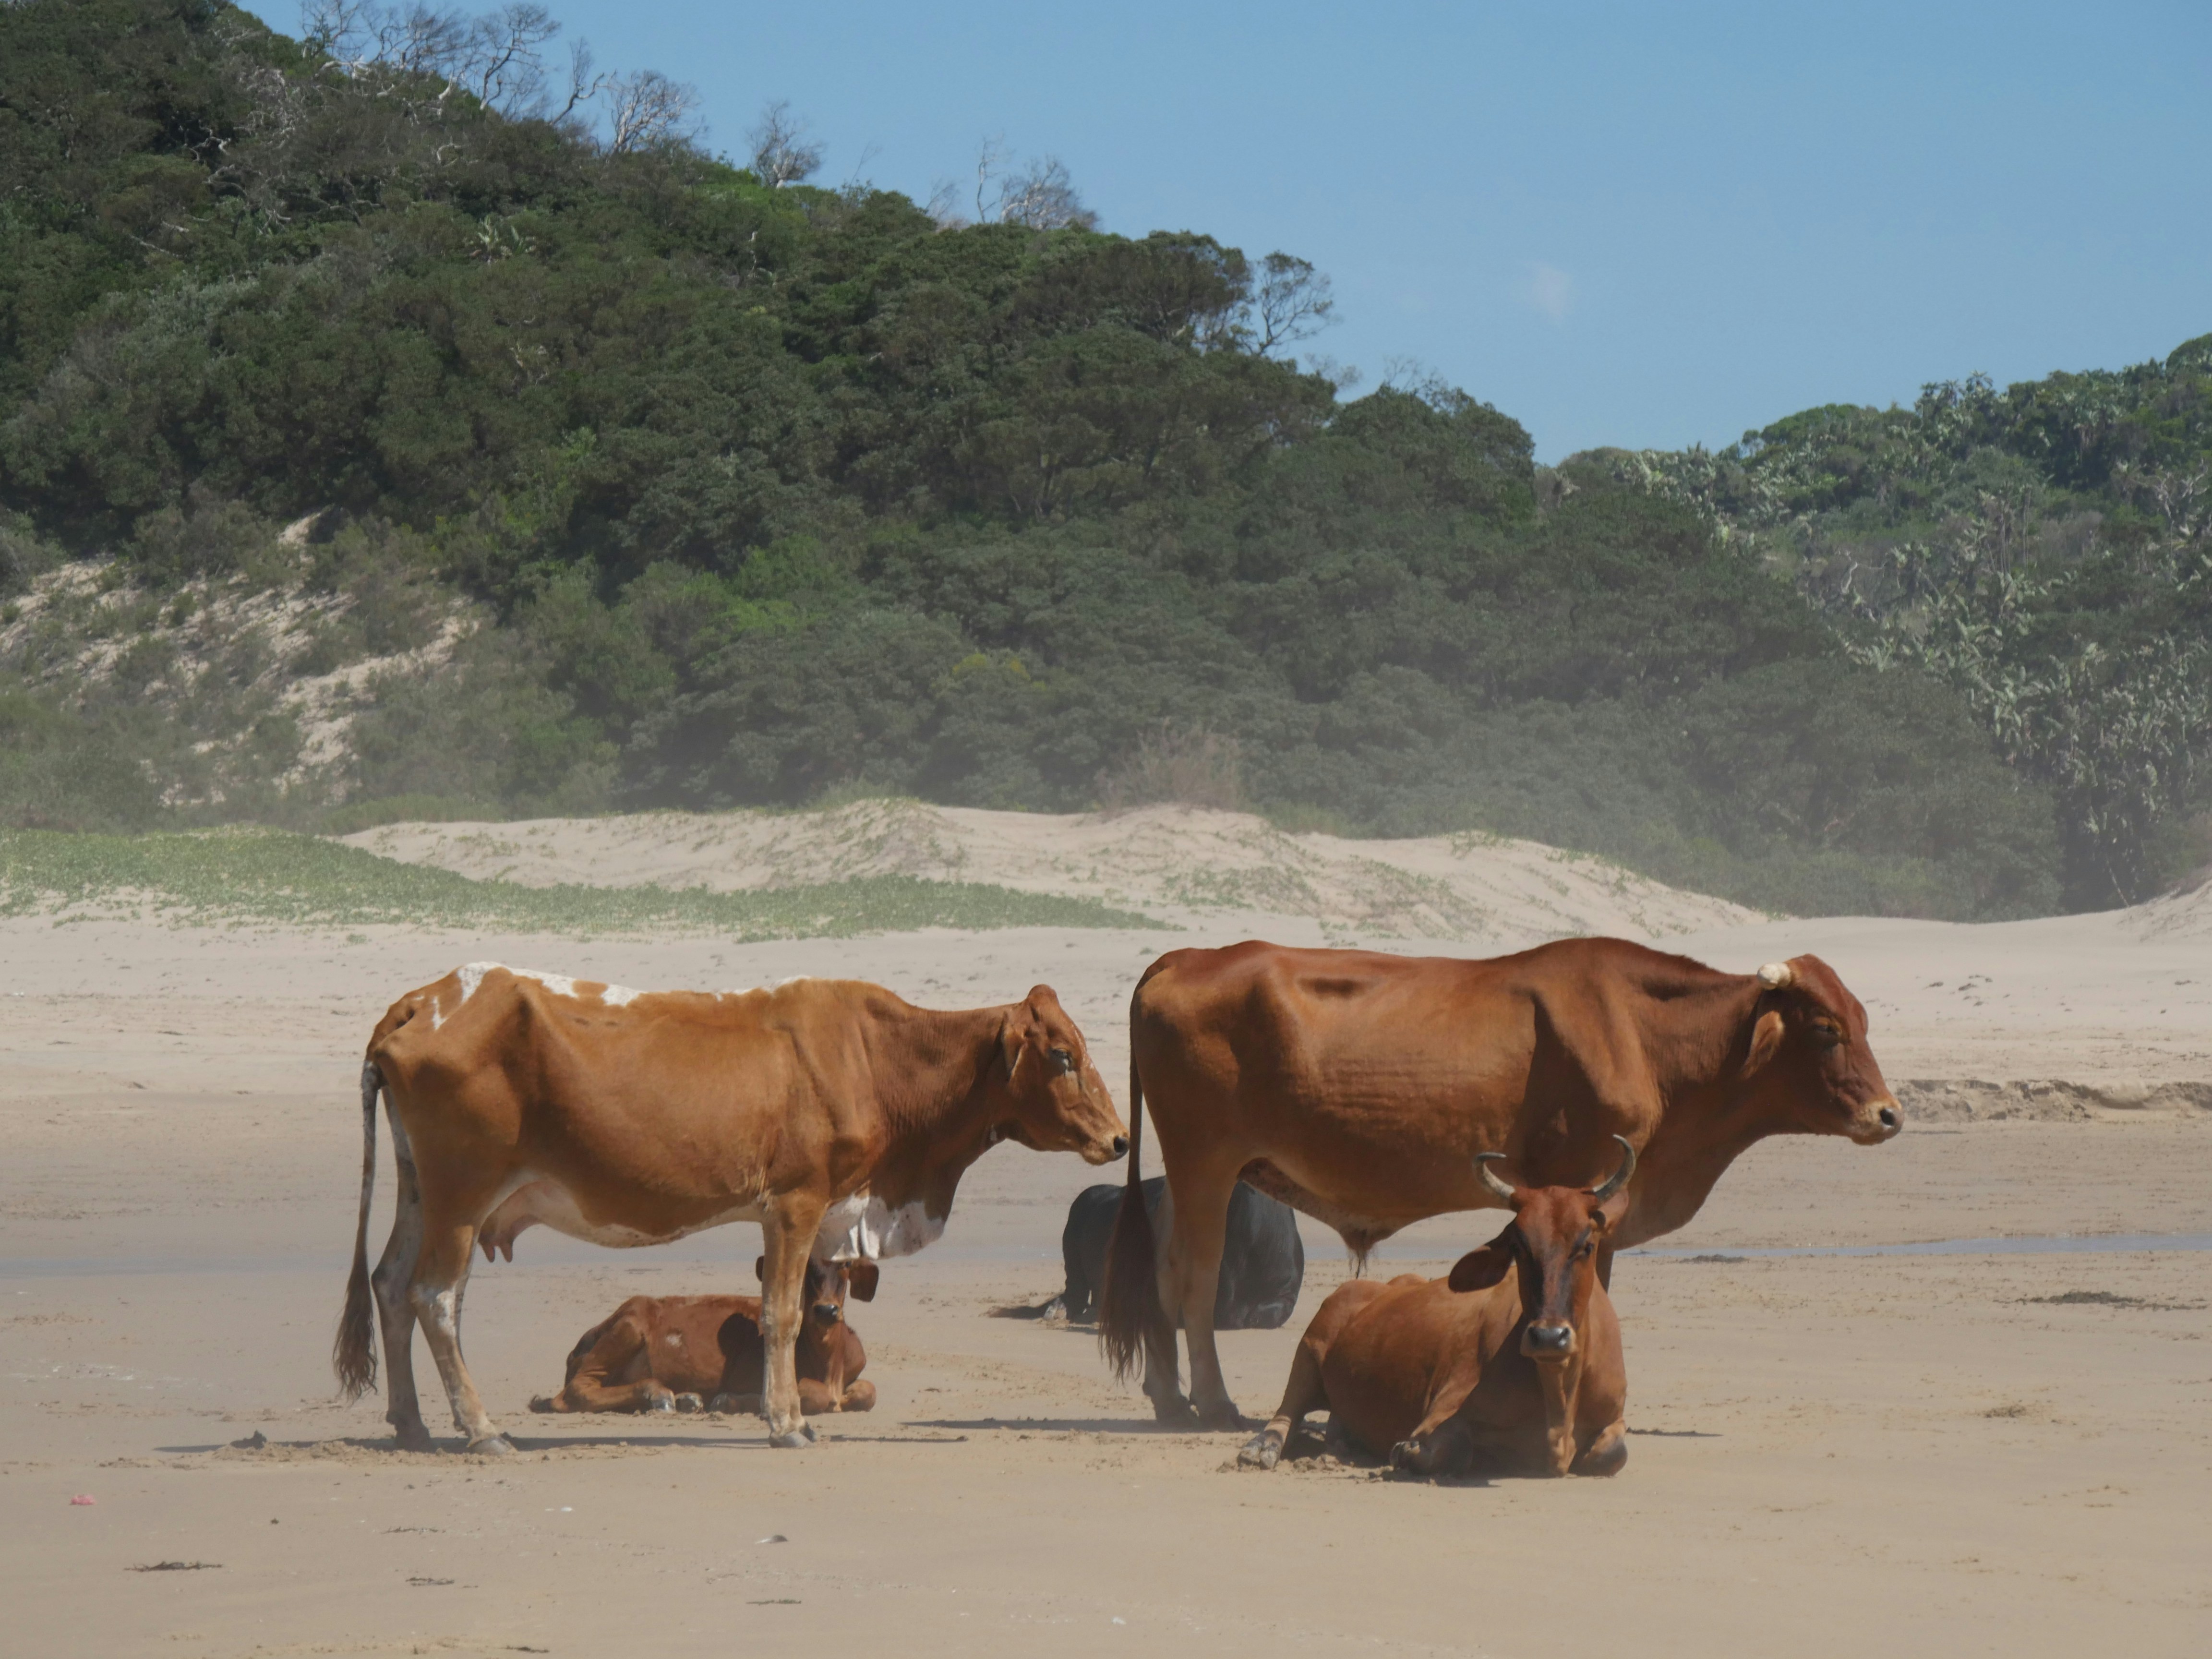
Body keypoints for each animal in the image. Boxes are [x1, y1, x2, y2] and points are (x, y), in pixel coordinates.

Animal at [531, 1257, 878, 1418]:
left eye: (847, 1264)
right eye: (806, 1264)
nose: (826, 1310)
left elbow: (868, 1392)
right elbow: (811, 1395)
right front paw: (728, 1401)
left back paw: (685, 1399)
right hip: (629, 1325)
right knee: (575, 1392)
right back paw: (659, 1394)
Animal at [1100, 940, 1900, 1427]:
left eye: (1863, 1020)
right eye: (1826, 1030)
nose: (1889, 1114)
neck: (1641, 1032)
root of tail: (1188, 955)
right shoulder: (1587, 1183)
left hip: (1189, 1172)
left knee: (1160, 1273)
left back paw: (1168, 1396)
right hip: (1207, 1160)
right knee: (1194, 1277)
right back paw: (1210, 1401)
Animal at [1239, 1140, 1636, 1479]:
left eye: (1586, 1244)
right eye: (1519, 1246)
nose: (1549, 1337)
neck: (1559, 1394)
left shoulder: (1614, 1419)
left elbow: (1614, 1454)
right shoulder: (1440, 1411)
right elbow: (1455, 1448)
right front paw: (1409, 1452)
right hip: (1310, 1348)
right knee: (1286, 1413)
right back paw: (1262, 1448)